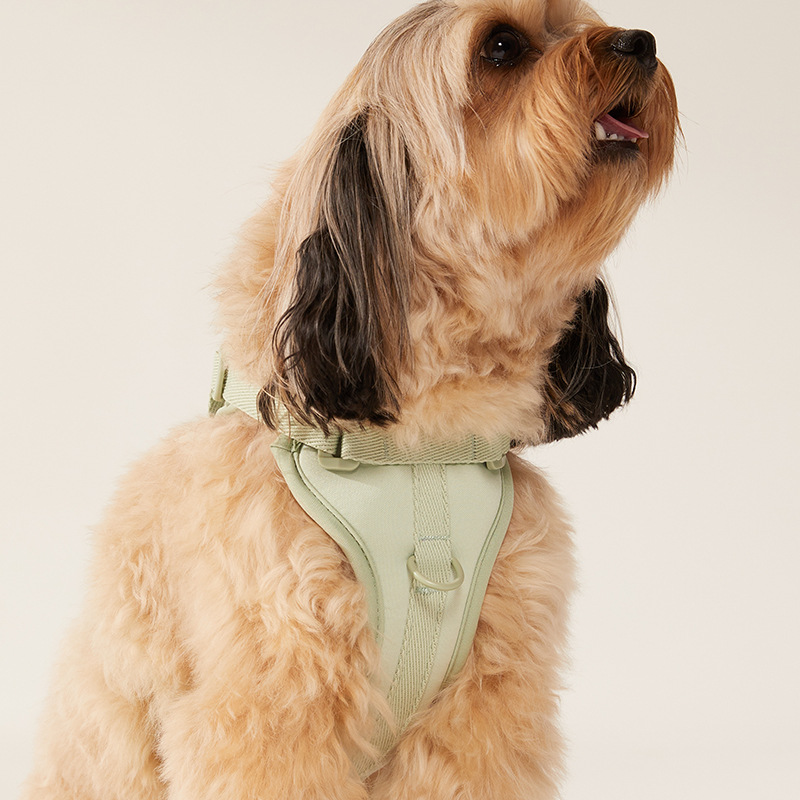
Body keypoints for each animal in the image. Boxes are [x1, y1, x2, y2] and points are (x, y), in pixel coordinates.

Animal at [23, 1, 678, 798]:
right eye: (499, 48)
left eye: (587, 21)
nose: (640, 42)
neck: (420, 457)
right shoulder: (276, 701)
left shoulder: (484, 706)